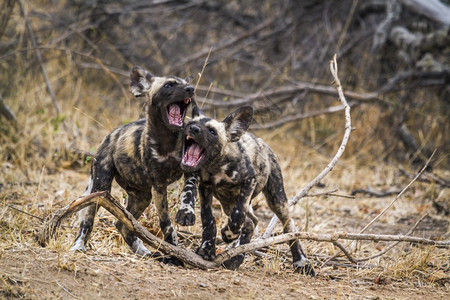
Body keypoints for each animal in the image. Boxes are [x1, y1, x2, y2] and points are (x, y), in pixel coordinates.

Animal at [71, 66, 196, 262]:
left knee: (123, 225)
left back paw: (143, 252)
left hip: (142, 196)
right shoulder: (159, 186)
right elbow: (166, 224)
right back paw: (78, 245)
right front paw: (175, 252)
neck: (168, 141)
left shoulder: (190, 170)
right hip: (101, 188)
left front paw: (186, 214)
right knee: (88, 220)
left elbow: (189, 192)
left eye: (186, 83)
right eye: (169, 85)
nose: (191, 89)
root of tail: (110, 136)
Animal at [178, 105, 312, 274]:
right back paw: (236, 258)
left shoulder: (249, 181)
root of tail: (263, 143)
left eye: (212, 131)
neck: (215, 167)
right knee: (251, 222)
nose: (193, 129)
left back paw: (301, 262)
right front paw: (207, 249)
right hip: (227, 202)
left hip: (276, 200)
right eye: (190, 123)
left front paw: (228, 234)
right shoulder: (204, 187)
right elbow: (208, 219)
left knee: (288, 225)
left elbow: (238, 215)